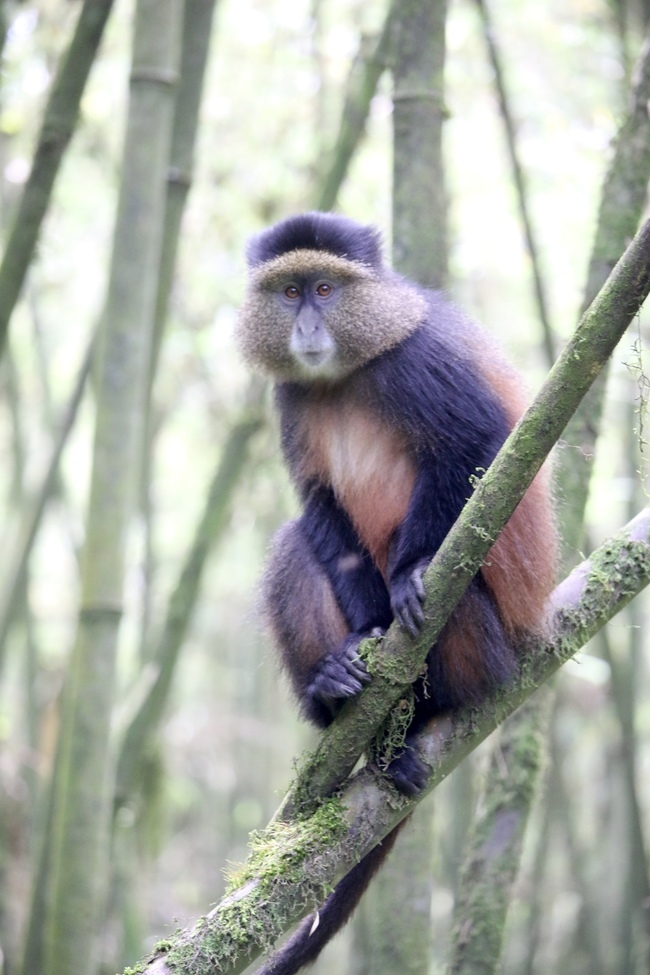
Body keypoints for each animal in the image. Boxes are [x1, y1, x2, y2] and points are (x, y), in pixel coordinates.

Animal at [235, 211, 557, 975]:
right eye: (289, 291)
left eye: (326, 288)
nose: (307, 323)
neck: (341, 376)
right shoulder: (288, 401)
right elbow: (320, 510)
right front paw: (356, 646)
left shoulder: (419, 359)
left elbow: (476, 442)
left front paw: (411, 571)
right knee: (295, 543)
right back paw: (333, 696)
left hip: (486, 649)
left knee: (456, 587)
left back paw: (419, 713)